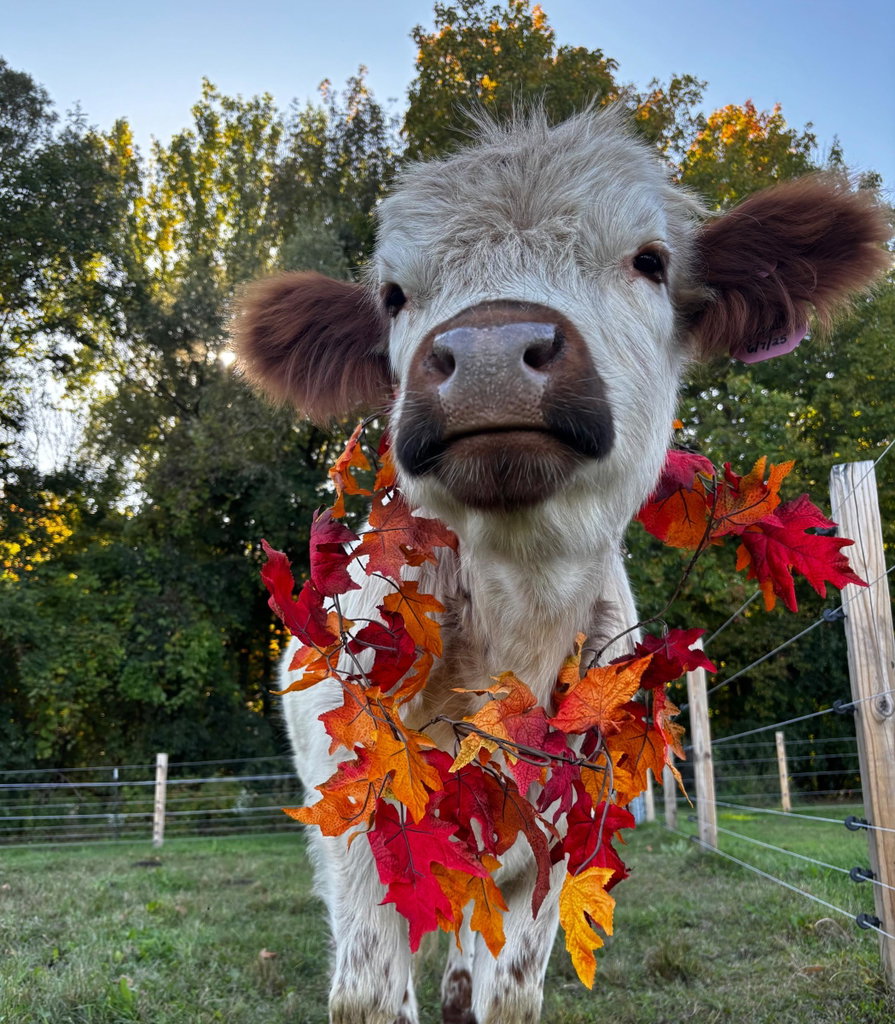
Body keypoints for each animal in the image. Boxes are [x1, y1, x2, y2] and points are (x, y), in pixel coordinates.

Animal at [235, 107, 889, 1024]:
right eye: (394, 296)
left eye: (650, 260)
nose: (488, 351)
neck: (516, 631)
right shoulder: (368, 838)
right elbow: (367, 995)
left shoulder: (557, 853)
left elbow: (506, 997)